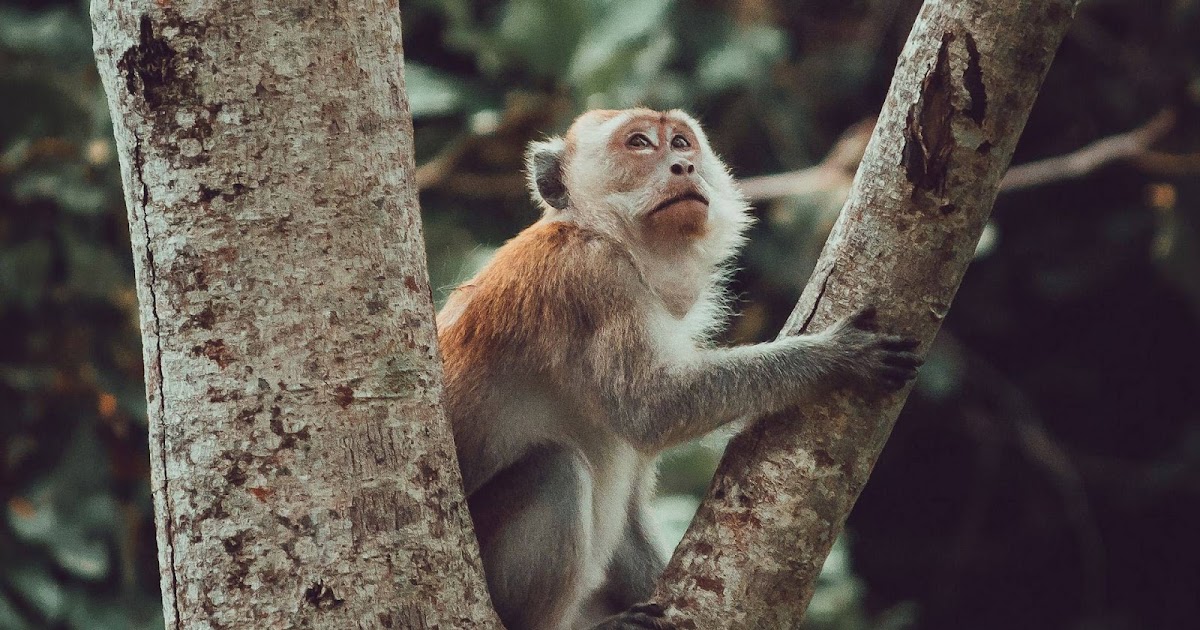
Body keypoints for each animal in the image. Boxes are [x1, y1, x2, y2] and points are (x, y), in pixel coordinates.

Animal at [436, 108, 921, 629]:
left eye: (682, 142)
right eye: (640, 143)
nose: (683, 167)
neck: (609, 236)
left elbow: (631, 512)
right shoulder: (592, 277)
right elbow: (653, 409)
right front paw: (834, 356)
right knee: (556, 469)